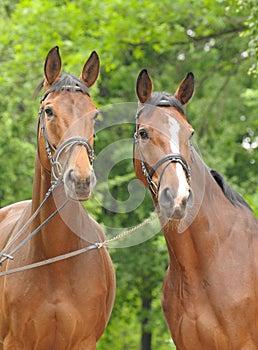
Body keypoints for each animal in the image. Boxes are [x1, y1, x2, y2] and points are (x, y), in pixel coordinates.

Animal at [0, 47, 115, 350]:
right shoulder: (15, 342)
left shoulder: (84, 342)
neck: (56, 258)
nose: (81, 179)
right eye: (49, 111)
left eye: (94, 115)